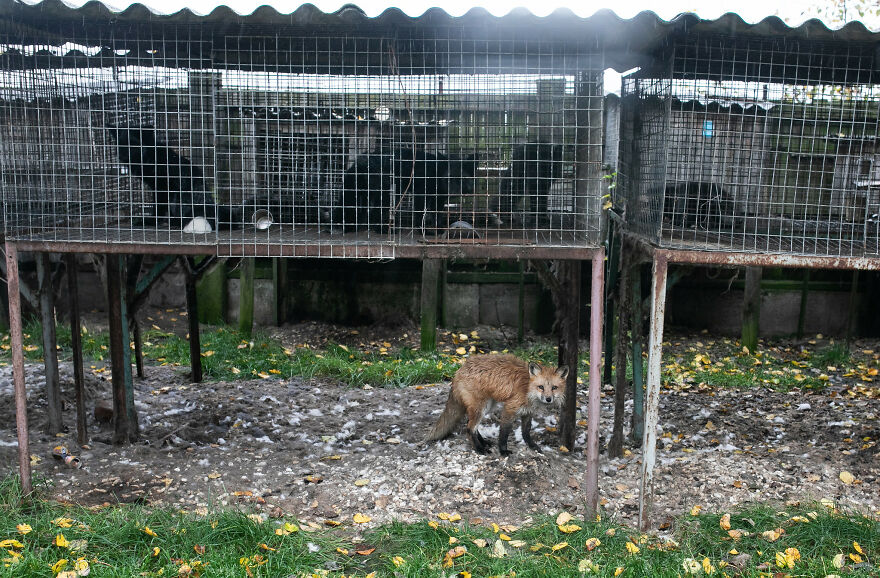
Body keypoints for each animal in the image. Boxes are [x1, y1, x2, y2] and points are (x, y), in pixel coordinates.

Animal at [425, 354, 568, 456]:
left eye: (554, 388)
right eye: (541, 387)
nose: (548, 399)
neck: (527, 389)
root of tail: (459, 370)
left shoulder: (528, 412)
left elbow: (526, 433)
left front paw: (533, 446)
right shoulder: (509, 409)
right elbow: (504, 433)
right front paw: (503, 451)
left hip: (487, 407)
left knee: (473, 427)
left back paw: (484, 443)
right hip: (480, 408)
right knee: (469, 428)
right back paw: (479, 449)